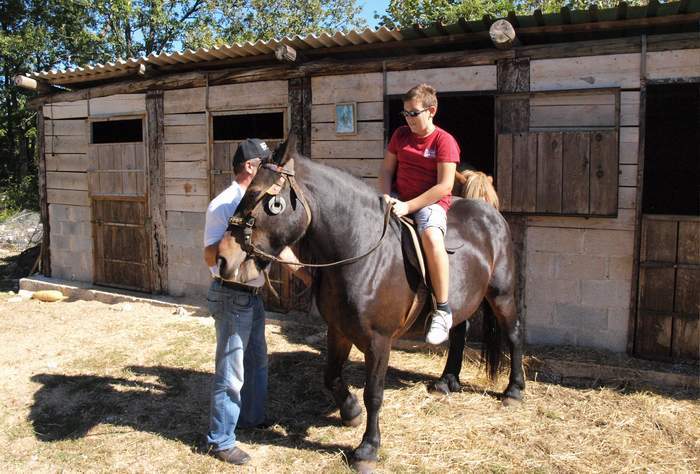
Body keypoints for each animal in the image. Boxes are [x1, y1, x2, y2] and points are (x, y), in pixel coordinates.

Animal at [219, 137, 524, 470]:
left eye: (259, 197)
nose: (223, 257)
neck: (360, 252)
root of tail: (489, 212)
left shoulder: (379, 342)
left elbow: (374, 394)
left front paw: (367, 448)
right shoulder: (338, 330)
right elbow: (331, 377)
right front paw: (350, 412)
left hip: (501, 295)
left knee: (513, 334)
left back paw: (514, 391)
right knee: (459, 331)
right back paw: (447, 381)